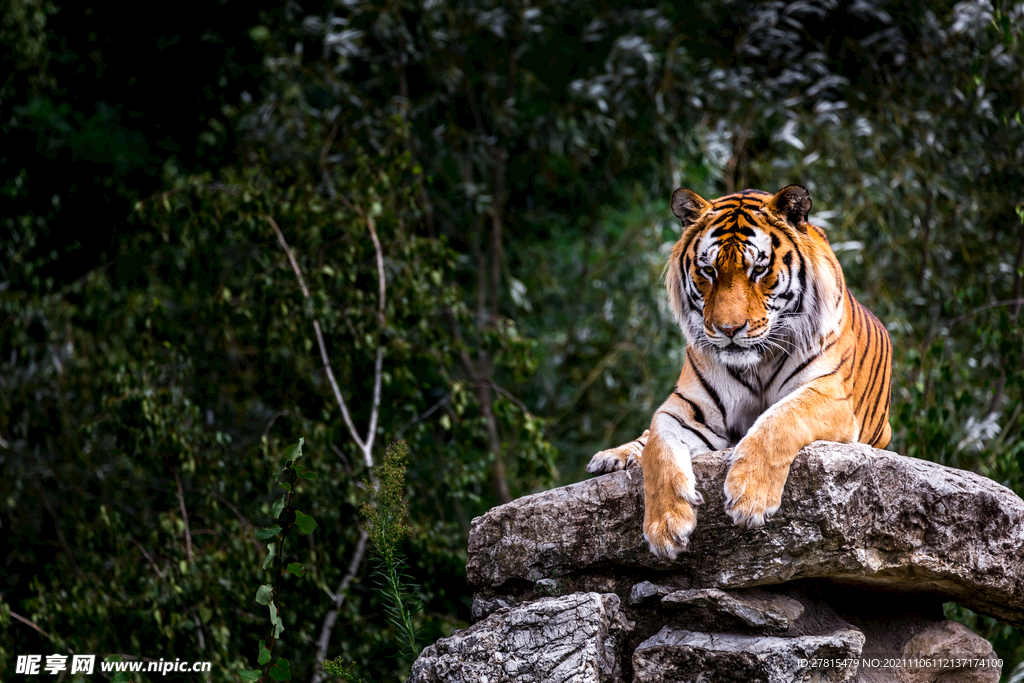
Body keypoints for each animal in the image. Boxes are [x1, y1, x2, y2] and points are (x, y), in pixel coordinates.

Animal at [589, 185, 892, 561]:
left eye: (758, 270)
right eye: (708, 271)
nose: (728, 329)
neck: (756, 363)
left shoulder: (830, 394)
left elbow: (780, 420)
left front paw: (750, 498)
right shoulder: (687, 408)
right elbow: (658, 447)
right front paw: (666, 525)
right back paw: (611, 457)